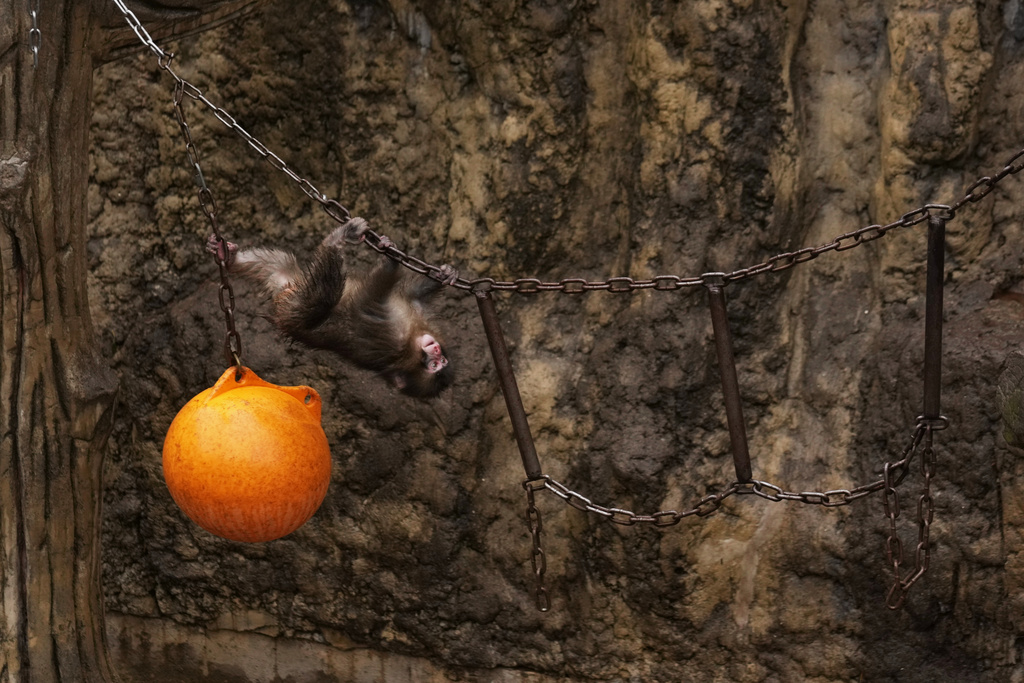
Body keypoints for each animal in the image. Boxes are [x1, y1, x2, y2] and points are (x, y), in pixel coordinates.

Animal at [207, 219, 455, 398]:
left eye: (436, 365)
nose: (437, 350)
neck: (414, 338)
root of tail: (284, 291)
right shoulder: (414, 315)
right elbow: (414, 293)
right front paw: (445, 275)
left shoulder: (394, 339)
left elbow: (367, 300)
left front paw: (391, 262)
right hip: (293, 282)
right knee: (278, 262)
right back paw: (228, 256)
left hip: (295, 307)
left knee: (321, 298)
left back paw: (336, 241)